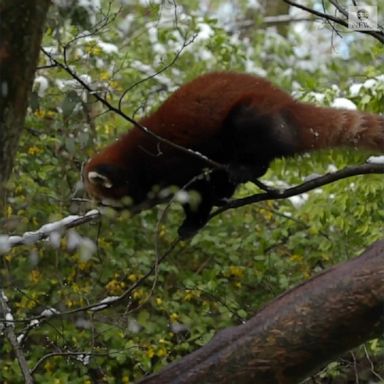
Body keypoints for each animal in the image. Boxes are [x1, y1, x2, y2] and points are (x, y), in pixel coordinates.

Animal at [82, 71, 384, 237]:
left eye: (102, 201)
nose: (101, 215)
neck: (137, 158)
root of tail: (288, 103)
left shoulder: (176, 157)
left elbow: (198, 190)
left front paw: (192, 222)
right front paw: (218, 198)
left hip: (250, 116)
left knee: (257, 148)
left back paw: (246, 170)